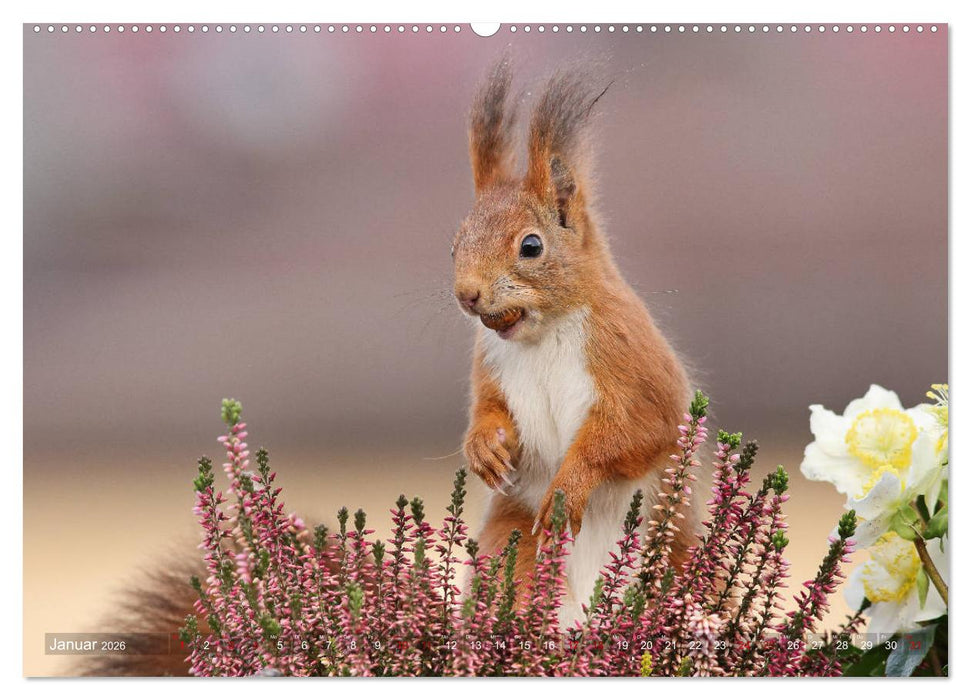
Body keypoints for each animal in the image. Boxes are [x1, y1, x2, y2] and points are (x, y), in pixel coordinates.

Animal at [453, 58, 693, 624]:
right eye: (454, 242)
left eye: (531, 246)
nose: (466, 295)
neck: (543, 333)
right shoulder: (489, 364)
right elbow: (489, 409)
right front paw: (484, 447)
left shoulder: (630, 356)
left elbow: (635, 430)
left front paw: (569, 486)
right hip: (512, 540)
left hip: (673, 559)